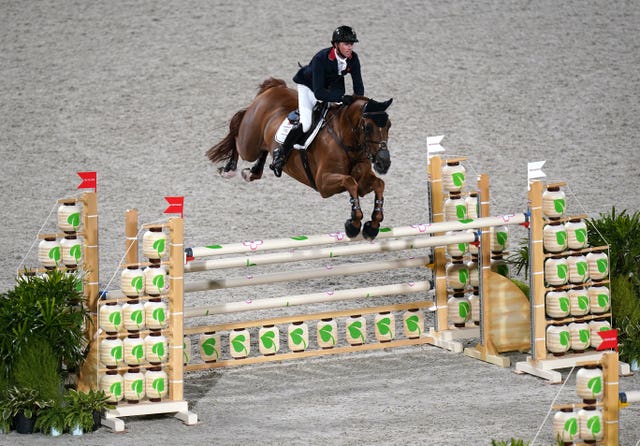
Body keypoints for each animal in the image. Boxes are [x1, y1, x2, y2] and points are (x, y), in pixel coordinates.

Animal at [208, 78, 392, 242]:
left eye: (389, 125)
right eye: (368, 127)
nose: (384, 162)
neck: (346, 141)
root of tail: (273, 88)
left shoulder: (362, 183)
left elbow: (379, 184)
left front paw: (372, 226)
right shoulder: (323, 184)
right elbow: (350, 182)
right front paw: (353, 224)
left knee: (262, 150)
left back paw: (256, 171)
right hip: (249, 144)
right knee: (237, 133)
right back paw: (229, 169)